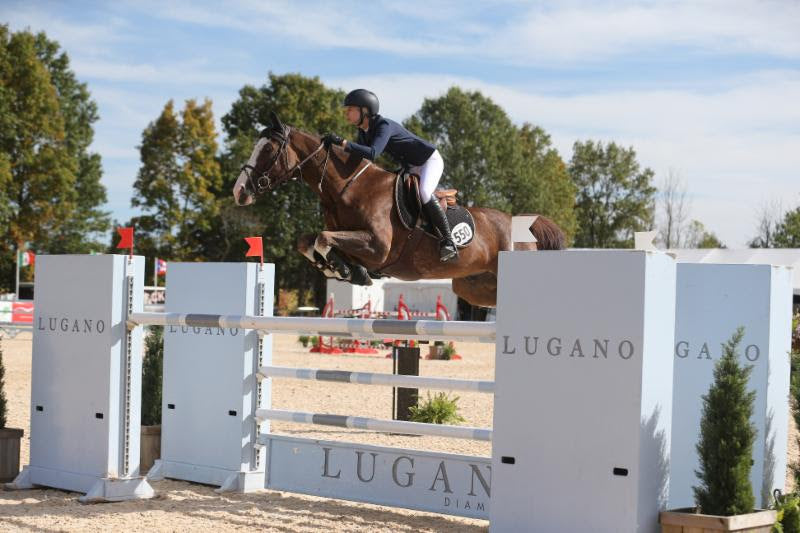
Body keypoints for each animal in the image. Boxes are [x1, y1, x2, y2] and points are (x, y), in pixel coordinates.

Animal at [234, 111, 564, 308]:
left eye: (267, 149)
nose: (239, 191)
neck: (348, 187)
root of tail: (524, 226)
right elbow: (307, 241)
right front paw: (341, 268)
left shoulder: (378, 246)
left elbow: (324, 238)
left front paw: (341, 267)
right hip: (472, 287)